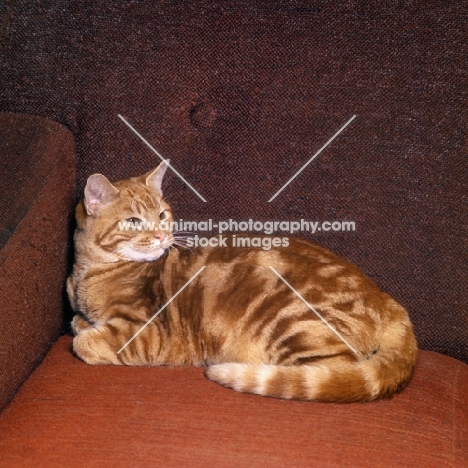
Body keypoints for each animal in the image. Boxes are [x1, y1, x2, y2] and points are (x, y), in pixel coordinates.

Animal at [66, 161, 416, 402]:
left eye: (162, 215)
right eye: (133, 221)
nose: (162, 236)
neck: (91, 271)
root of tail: (387, 300)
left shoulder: (150, 334)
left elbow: (83, 342)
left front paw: (88, 334)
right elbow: (77, 321)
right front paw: (86, 322)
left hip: (296, 325)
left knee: (332, 373)